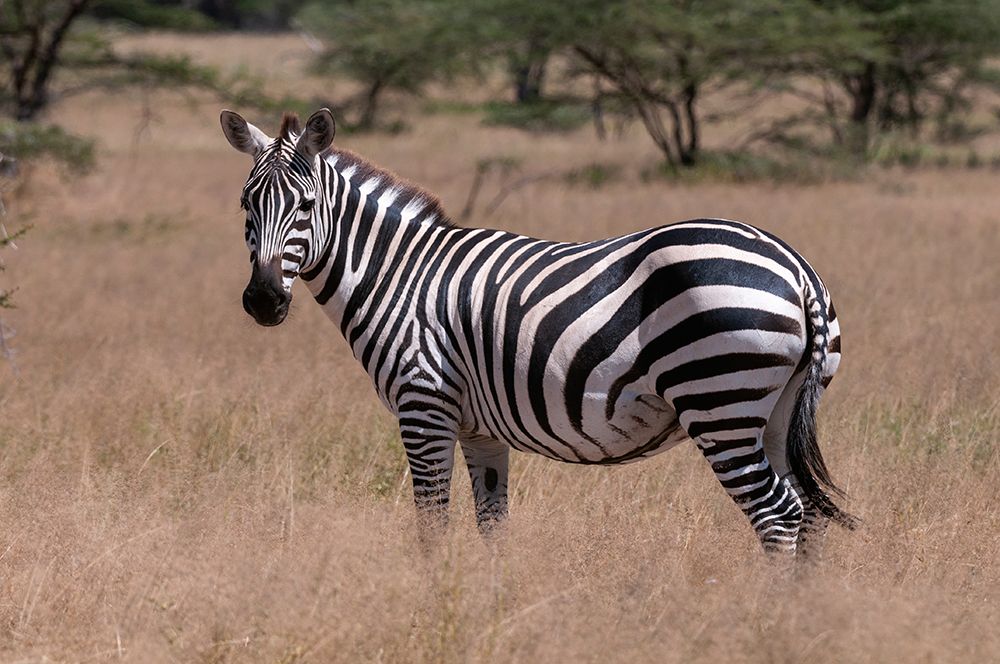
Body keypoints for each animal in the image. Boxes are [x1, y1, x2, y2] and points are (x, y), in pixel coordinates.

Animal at [220, 108, 857, 555]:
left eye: (305, 205)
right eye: (246, 205)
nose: (264, 301)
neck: (399, 276)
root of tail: (796, 267)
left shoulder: (423, 405)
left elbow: (432, 527)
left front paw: (433, 606)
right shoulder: (478, 428)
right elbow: (491, 527)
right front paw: (485, 609)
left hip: (719, 398)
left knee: (778, 516)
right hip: (775, 410)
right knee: (807, 514)